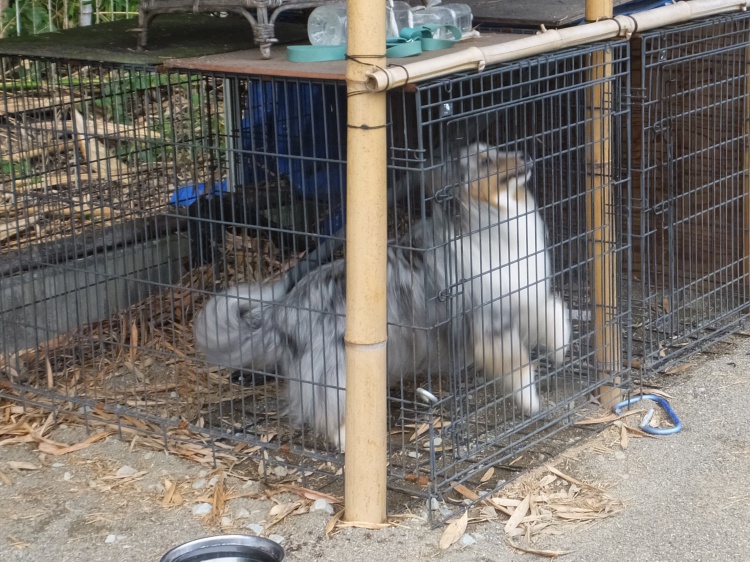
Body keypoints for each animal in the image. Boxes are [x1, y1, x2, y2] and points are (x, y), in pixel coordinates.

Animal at [193, 142, 571, 451]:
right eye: (486, 161)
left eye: (497, 150)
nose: (526, 155)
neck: (489, 222)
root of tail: (283, 310)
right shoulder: (492, 325)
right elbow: (520, 366)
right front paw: (532, 402)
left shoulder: (526, 295)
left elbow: (557, 310)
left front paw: (560, 349)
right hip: (338, 369)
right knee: (329, 412)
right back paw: (351, 444)